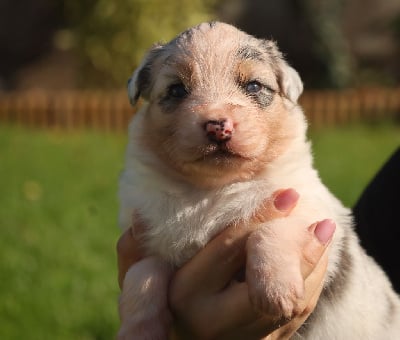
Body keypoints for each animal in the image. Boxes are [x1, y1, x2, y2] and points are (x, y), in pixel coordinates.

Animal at [118, 22, 400, 338]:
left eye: (253, 85)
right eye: (177, 89)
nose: (218, 126)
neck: (212, 189)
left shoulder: (307, 211)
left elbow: (269, 230)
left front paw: (277, 292)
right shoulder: (145, 237)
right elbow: (142, 277)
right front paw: (138, 329)